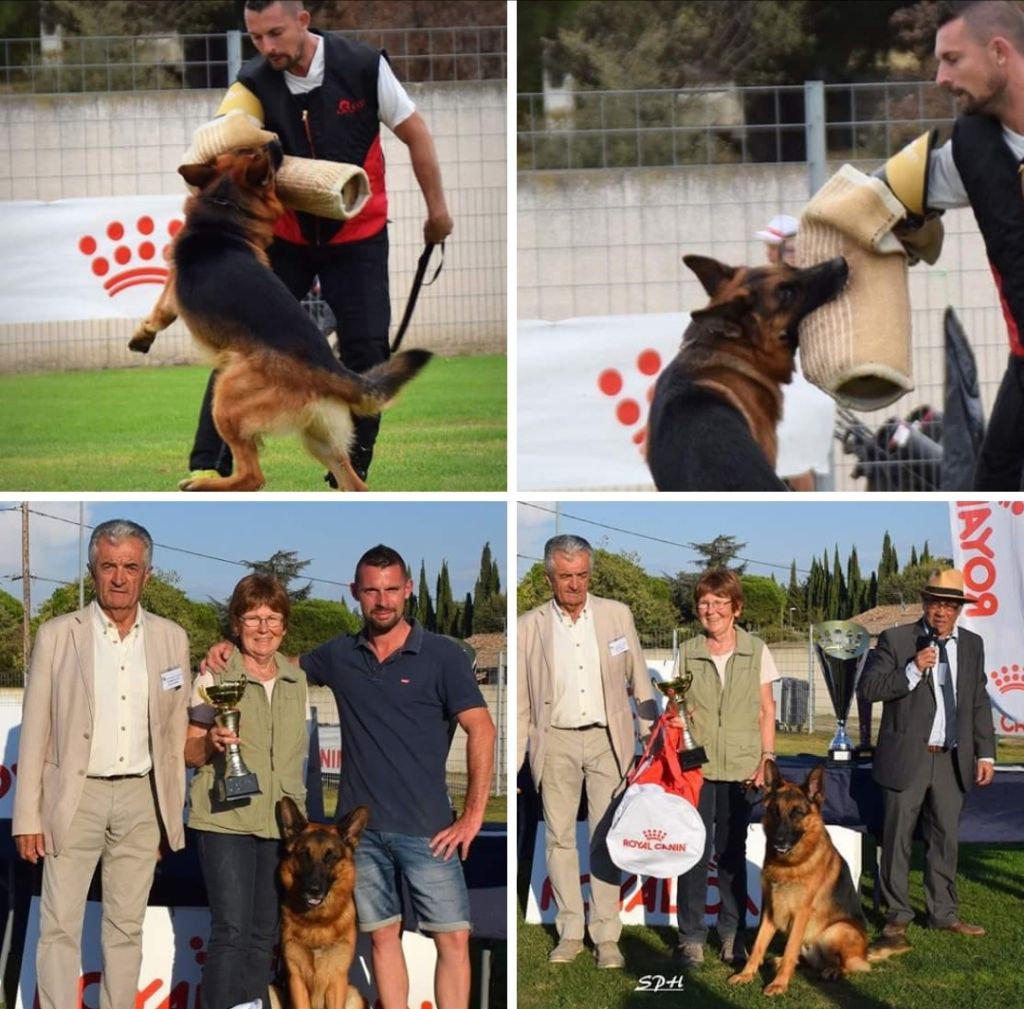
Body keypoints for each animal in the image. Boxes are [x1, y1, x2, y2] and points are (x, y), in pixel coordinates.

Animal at [129, 143, 430, 491]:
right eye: (247, 149)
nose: (275, 141)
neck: (224, 206)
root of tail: (329, 366)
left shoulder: (171, 288)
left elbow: (159, 313)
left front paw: (142, 336)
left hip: (226, 397)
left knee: (253, 477)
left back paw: (203, 485)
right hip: (321, 438)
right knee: (355, 485)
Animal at [277, 797, 369, 1009]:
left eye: (330, 857)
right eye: (304, 854)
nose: (314, 889)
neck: (317, 921)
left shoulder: (337, 980)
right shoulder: (296, 979)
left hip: (354, 994)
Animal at [728, 760, 895, 996]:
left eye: (797, 813)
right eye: (775, 811)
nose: (778, 840)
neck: (790, 864)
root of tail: (865, 952)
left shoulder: (801, 912)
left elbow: (790, 949)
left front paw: (779, 984)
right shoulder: (770, 909)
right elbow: (759, 945)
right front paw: (746, 974)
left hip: (837, 930)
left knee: (849, 965)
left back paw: (833, 970)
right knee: (804, 959)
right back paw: (780, 961)